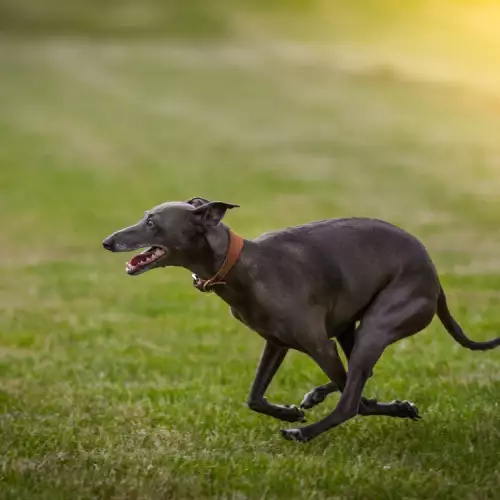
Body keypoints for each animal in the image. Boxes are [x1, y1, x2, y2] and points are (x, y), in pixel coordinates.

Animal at [102, 197, 500, 444]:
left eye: (152, 222)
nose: (107, 241)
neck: (240, 266)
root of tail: (434, 277)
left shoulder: (317, 343)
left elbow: (357, 400)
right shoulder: (276, 342)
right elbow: (254, 397)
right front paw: (289, 412)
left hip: (377, 325)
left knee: (352, 398)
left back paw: (307, 432)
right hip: (350, 328)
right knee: (358, 377)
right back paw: (318, 399)